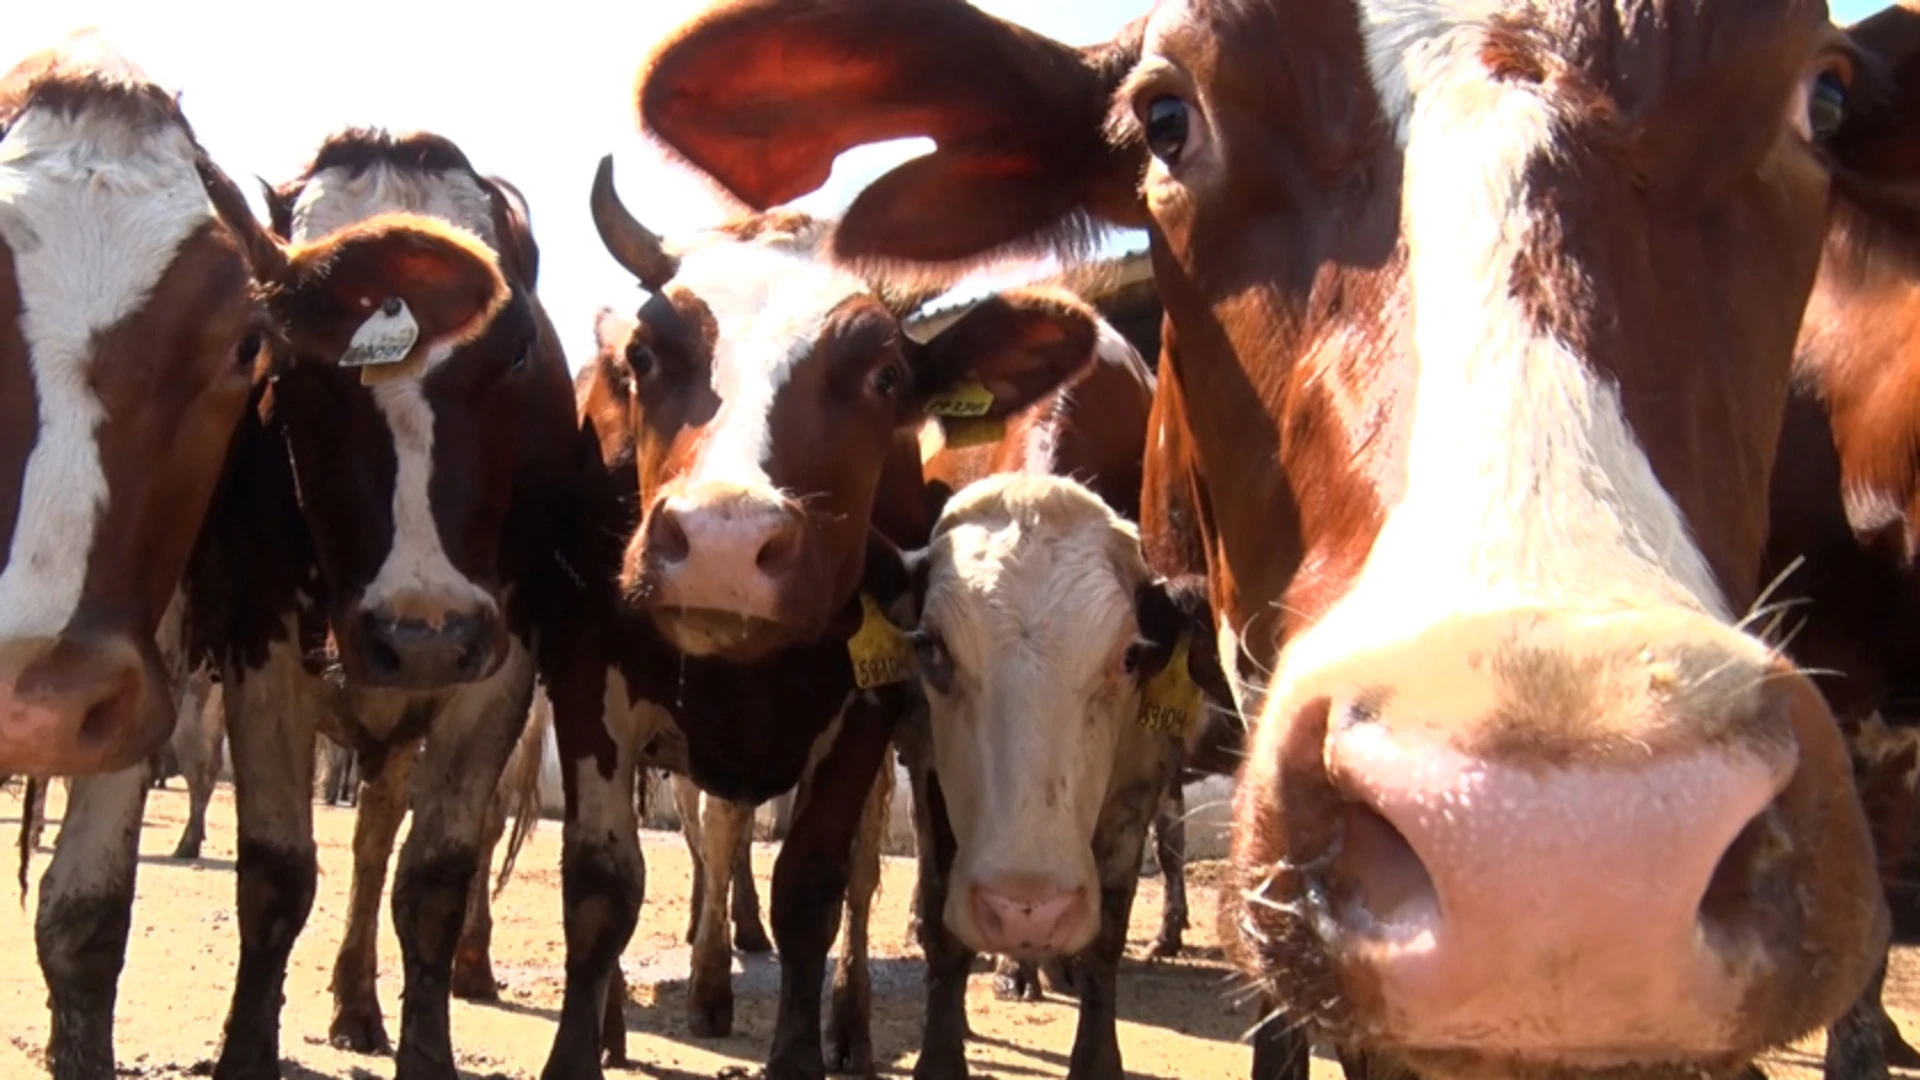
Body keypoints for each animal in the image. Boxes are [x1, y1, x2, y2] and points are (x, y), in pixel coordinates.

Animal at [537, 159, 1113, 1076]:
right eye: (646, 354)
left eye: (884, 376)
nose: (723, 540)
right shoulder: (588, 680)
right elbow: (602, 889)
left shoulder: (863, 716)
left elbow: (813, 888)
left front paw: (804, 1050)